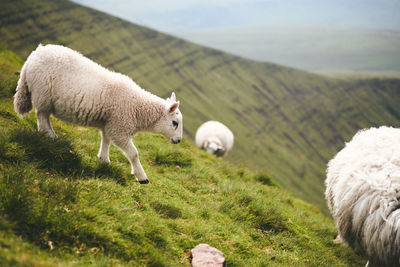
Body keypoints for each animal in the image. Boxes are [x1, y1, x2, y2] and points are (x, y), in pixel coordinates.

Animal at [13, 44, 183, 186]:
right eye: (175, 122)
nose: (179, 140)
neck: (138, 108)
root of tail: (35, 54)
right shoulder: (119, 128)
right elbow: (134, 154)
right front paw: (142, 177)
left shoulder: (108, 123)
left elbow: (106, 140)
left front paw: (104, 159)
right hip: (42, 94)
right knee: (42, 117)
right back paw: (50, 136)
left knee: (43, 117)